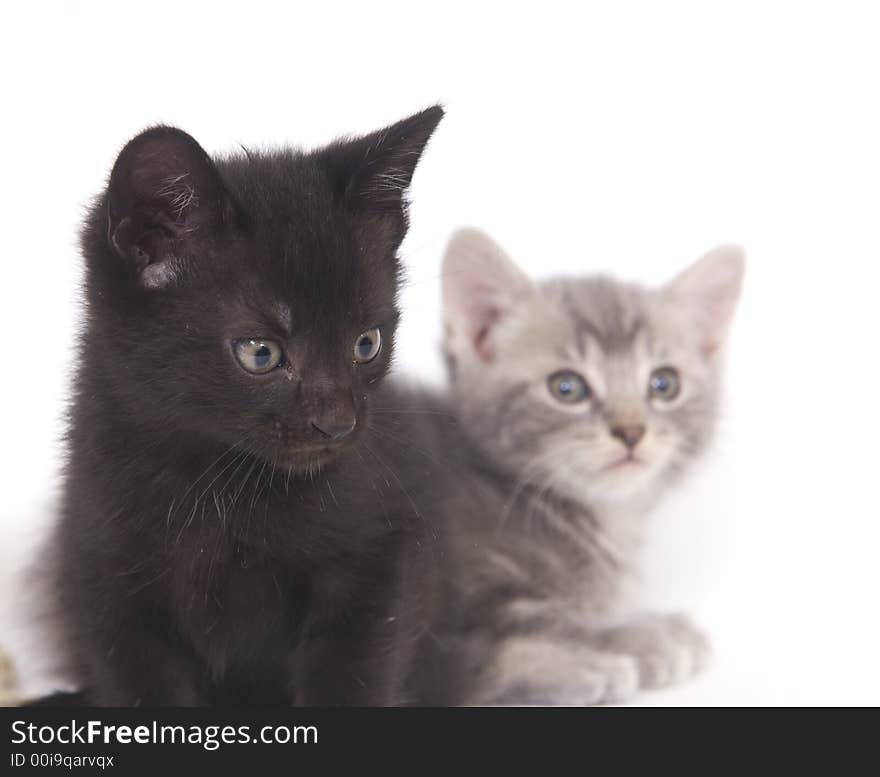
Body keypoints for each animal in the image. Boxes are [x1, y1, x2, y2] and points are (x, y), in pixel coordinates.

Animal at [48, 106, 444, 708]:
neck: (219, 484)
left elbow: (355, 673)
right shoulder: (105, 576)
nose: (337, 424)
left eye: (367, 343)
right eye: (261, 353)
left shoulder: (377, 556)